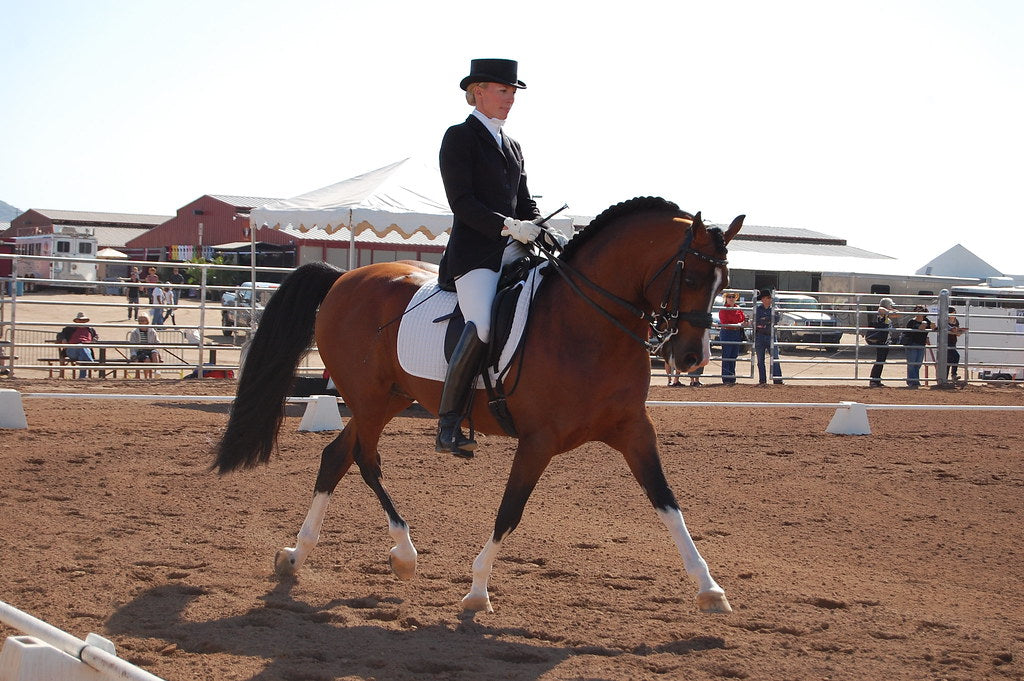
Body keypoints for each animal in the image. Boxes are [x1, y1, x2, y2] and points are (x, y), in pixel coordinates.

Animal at [216, 195, 745, 610]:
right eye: (692, 275)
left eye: (724, 282)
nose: (692, 357)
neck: (588, 325)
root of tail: (345, 278)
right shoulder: (537, 440)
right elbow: (510, 511)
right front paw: (476, 591)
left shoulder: (634, 430)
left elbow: (667, 502)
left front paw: (710, 589)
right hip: (367, 399)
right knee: (365, 460)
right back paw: (404, 555)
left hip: (388, 399)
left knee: (335, 457)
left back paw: (295, 556)